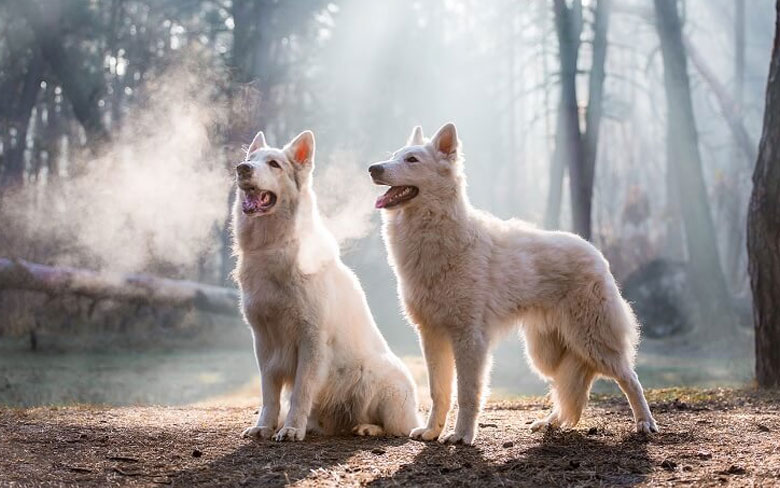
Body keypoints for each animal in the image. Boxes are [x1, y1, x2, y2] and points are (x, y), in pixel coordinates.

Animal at [235, 127, 420, 440]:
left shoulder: (311, 341)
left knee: (397, 429)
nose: (242, 168)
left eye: (274, 164)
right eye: (252, 159)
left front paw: (291, 429)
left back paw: (367, 427)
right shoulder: (263, 342)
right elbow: (269, 395)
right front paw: (265, 427)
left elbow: (300, 391)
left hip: (376, 376)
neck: (273, 246)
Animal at [370, 123, 660, 446]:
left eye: (412, 160)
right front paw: (432, 432)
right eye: (394, 156)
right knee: (567, 386)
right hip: (547, 353)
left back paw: (645, 423)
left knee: (629, 378)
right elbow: (438, 392)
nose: (373, 169)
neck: (437, 233)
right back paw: (549, 422)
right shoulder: (431, 336)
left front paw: (461, 435)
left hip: (593, 341)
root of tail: (596, 254)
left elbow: (467, 393)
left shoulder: (469, 338)